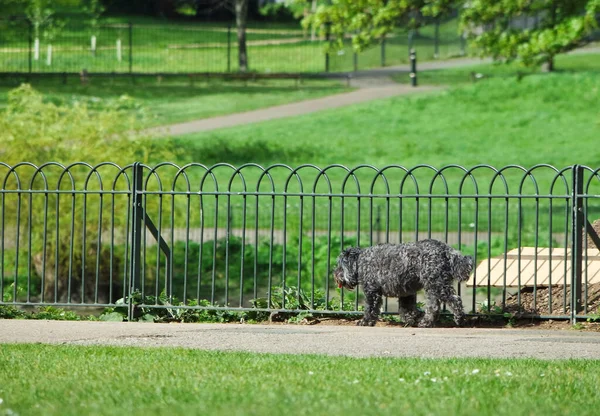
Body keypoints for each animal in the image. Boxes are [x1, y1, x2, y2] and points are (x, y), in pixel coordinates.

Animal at [332, 240, 474, 328]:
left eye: (340, 265)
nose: (335, 274)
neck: (361, 261)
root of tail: (448, 251)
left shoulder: (372, 292)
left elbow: (370, 309)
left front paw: (365, 322)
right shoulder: (406, 293)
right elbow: (406, 310)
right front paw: (412, 320)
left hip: (438, 286)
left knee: (455, 300)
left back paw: (459, 319)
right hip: (432, 287)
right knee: (433, 307)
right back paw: (425, 323)